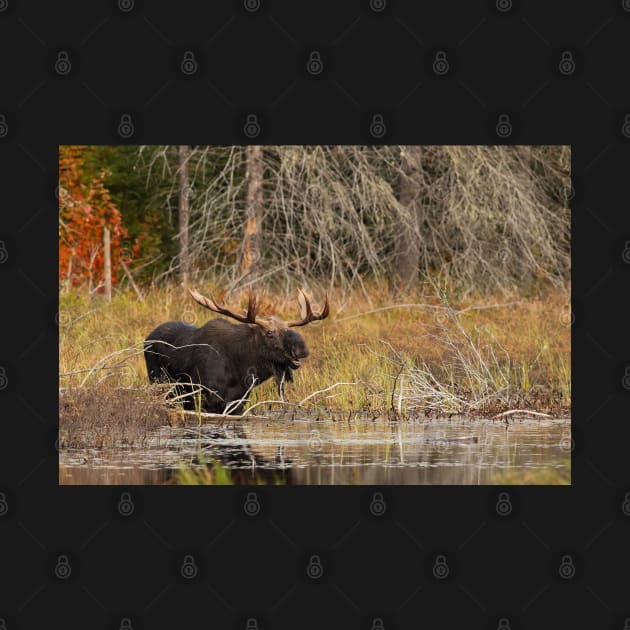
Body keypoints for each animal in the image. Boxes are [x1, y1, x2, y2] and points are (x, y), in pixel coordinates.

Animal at [144, 288, 330, 418]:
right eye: (269, 333)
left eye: (287, 329)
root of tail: (147, 338)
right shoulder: (206, 399)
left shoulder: (238, 404)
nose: (302, 350)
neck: (240, 370)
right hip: (158, 382)